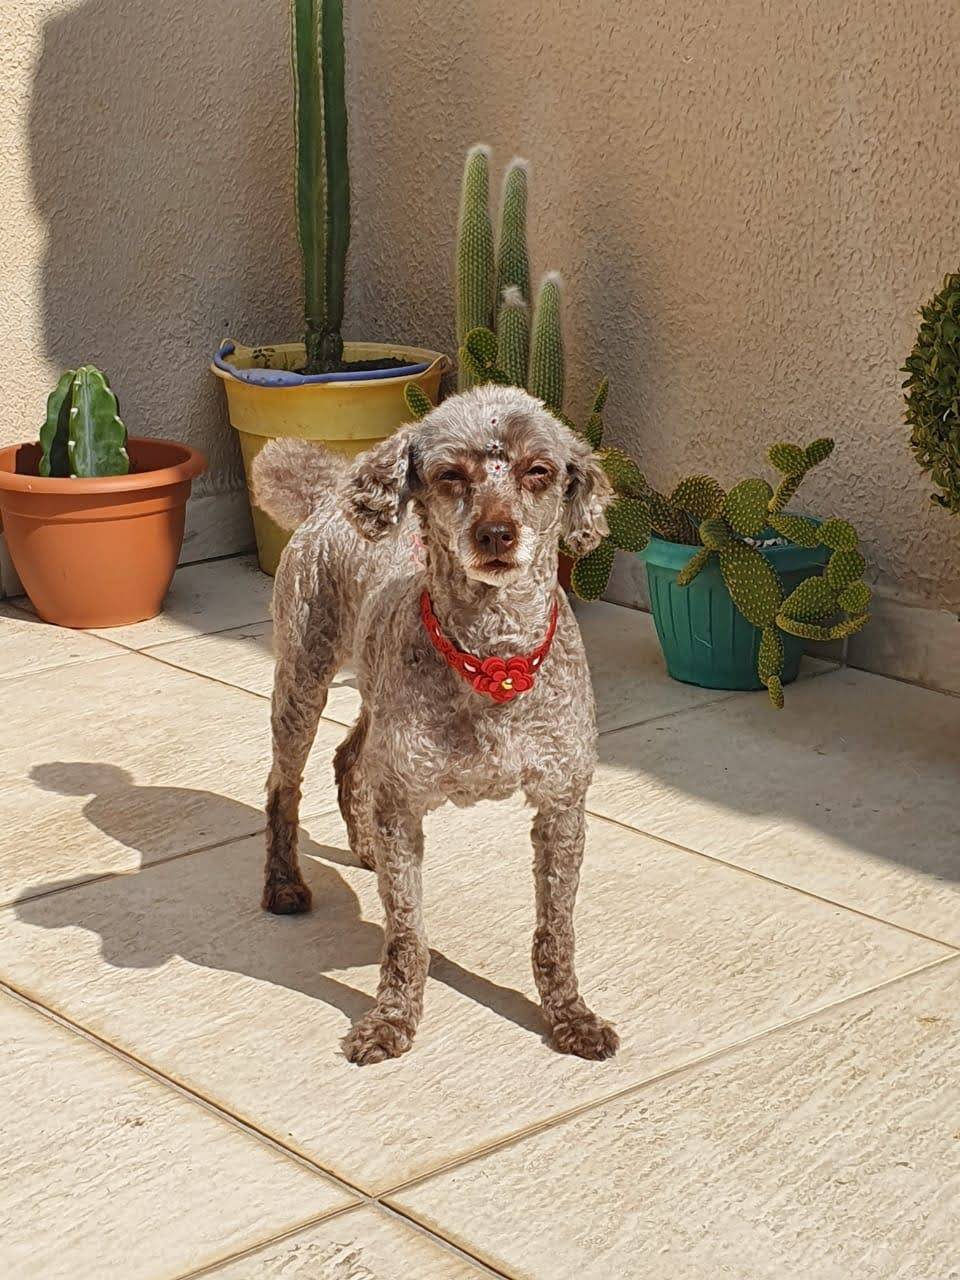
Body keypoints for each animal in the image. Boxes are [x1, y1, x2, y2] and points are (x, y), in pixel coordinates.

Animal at [251, 382, 620, 1065]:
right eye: (450, 475)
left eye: (539, 470)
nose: (497, 533)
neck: (493, 659)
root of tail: (329, 494)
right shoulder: (403, 802)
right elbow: (405, 935)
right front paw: (392, 1019)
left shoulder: (562, 804)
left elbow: (556, 932)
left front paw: (570, 1016)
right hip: (301, 678)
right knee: (282, 785)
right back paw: (284, 884)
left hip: (374, 693)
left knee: (349, 756)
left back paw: (364, 848)